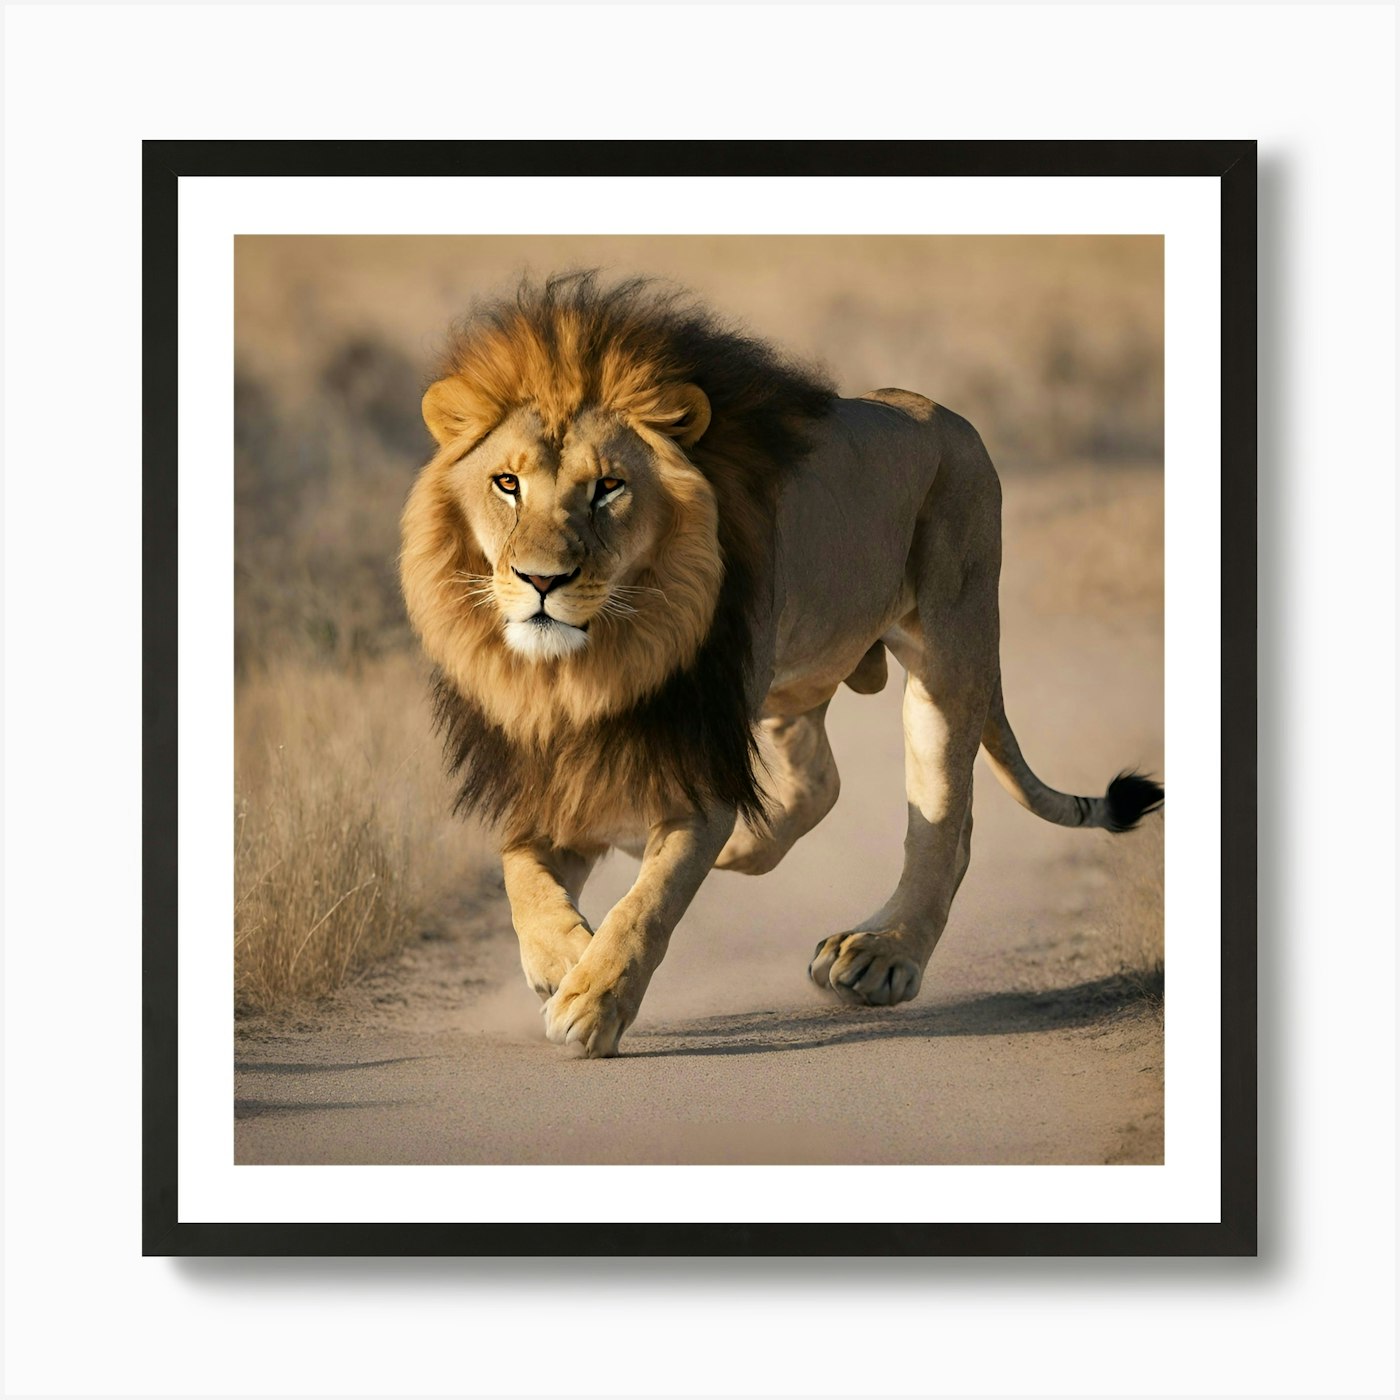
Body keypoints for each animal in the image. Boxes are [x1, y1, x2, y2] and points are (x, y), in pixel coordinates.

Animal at [400, 272, 1163, 1058]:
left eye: (608, 486)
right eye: (507, 484)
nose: (541, 580)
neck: (597, 660)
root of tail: (951, 418)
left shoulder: (698, 762)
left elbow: (649, 904)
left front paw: (594, 1000)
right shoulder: (552, 765)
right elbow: (522, 871)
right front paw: (560, 960)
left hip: (950, 647)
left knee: (944, 823)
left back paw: (882, 954)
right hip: (792, 681)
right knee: (818, 783)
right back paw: (737, 853)